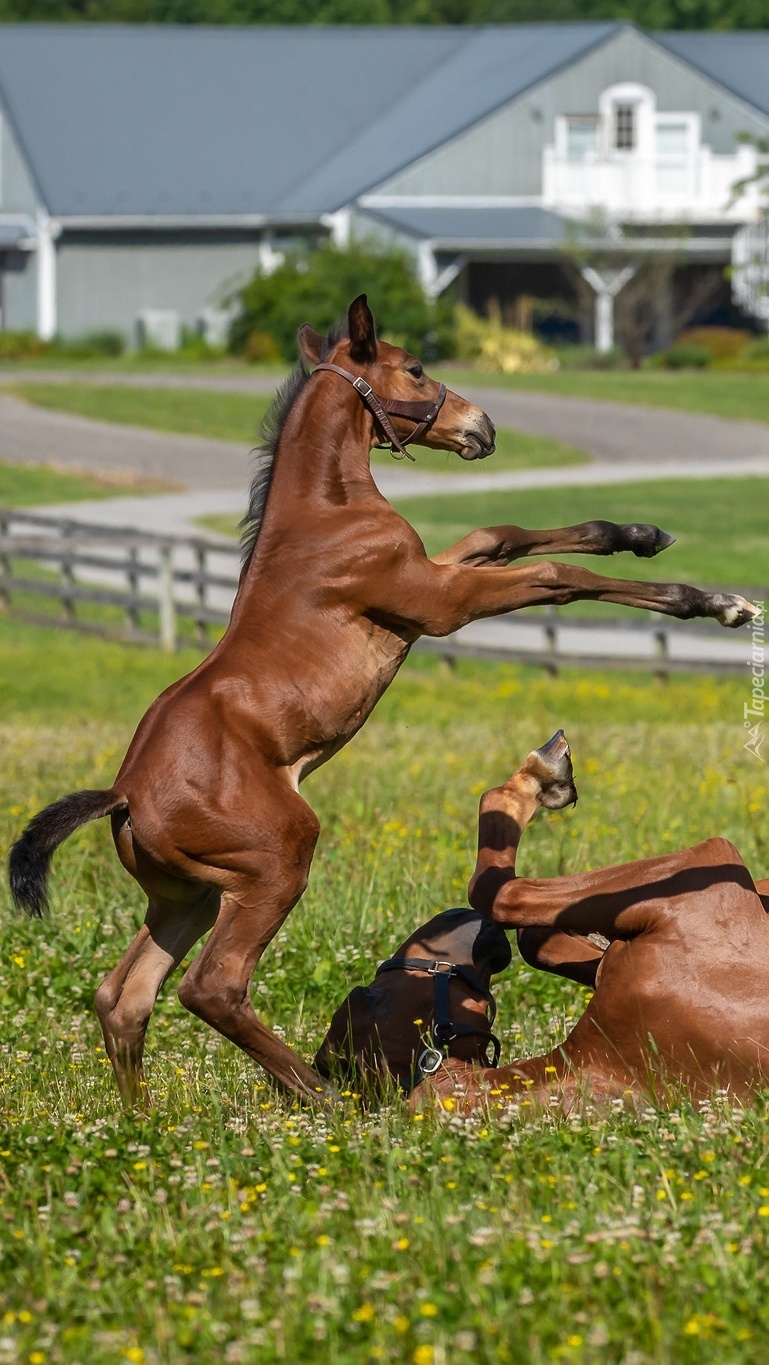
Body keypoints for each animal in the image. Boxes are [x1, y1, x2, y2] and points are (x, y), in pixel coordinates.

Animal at [315, 737, 769, 1108]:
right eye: (368, 991)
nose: (451, 915)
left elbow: (536, 936)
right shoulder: (709, 861)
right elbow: (499, 892)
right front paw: (535, 779)